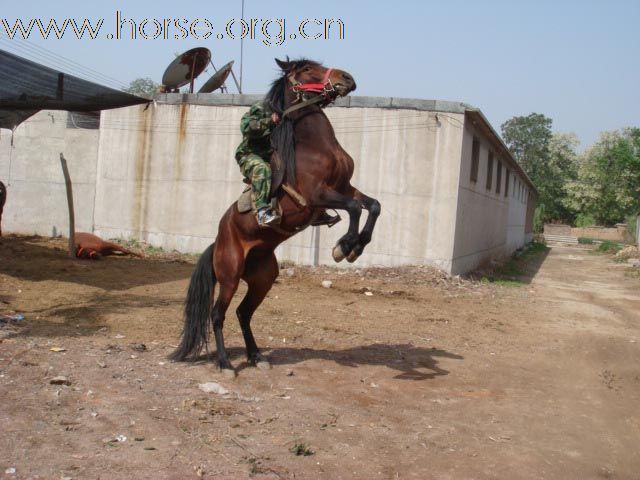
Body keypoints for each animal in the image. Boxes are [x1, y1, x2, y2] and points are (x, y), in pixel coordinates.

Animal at [170, 57, 380, 376]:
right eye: (307, 70)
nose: (347, 78)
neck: (315, 147)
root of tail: (218, 242)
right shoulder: (318, 195)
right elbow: (355, 208)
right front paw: (344, 247)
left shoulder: (345, 188)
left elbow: (373, 206)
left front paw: (356, 246)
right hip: (230, 276)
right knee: (218, 314)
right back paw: (225, 363)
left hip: (263, 279)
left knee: (243, 312)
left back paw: (256, 356)